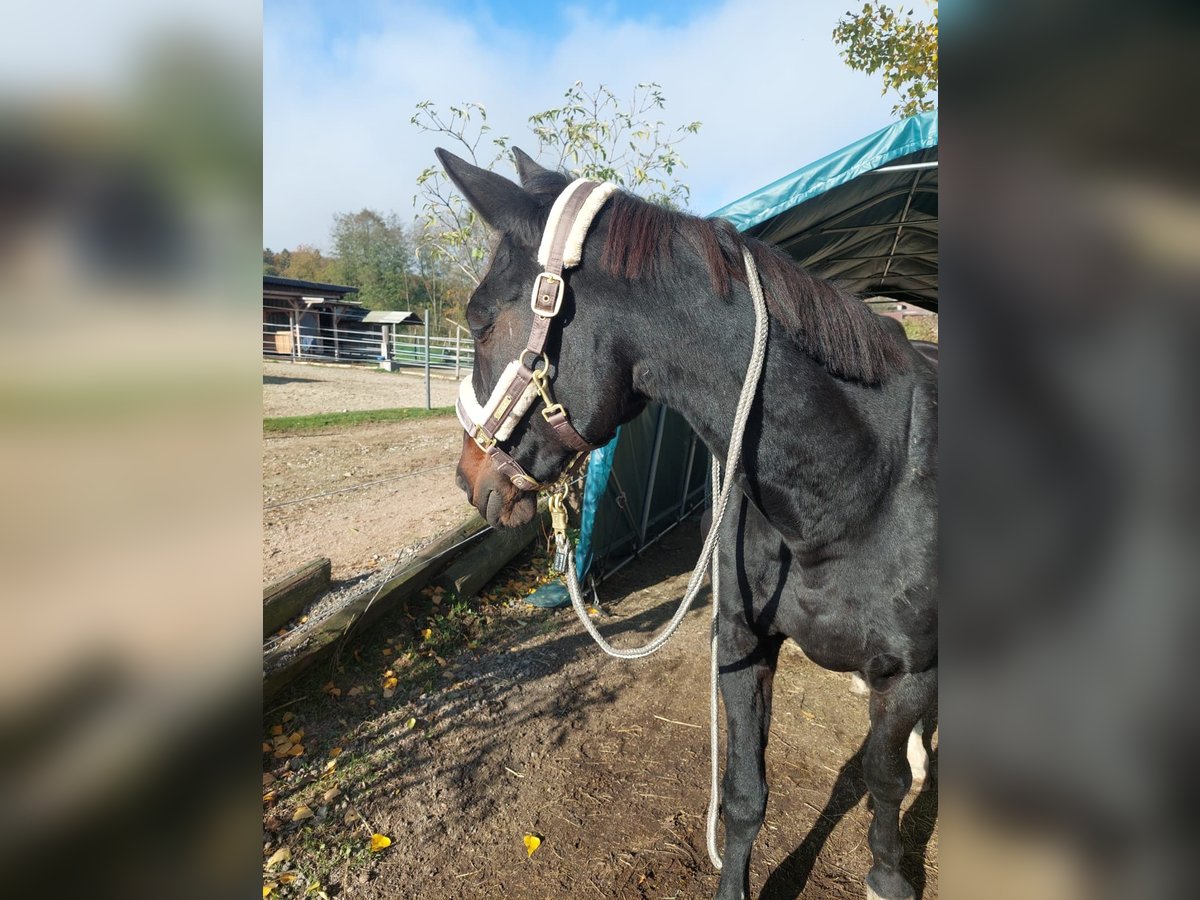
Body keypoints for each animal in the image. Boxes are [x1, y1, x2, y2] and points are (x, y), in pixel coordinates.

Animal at [441, 148, 936, 900]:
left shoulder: (910, 673)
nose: (471, 479)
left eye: (480, 320)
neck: (853, 490)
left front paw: (887, 875)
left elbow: (884, 779)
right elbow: (744, 794)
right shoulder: (742, 644)